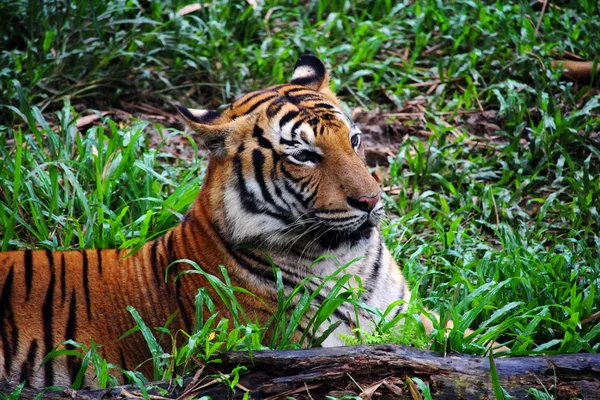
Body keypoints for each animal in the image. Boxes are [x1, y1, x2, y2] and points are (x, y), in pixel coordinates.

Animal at [0, 54, 496, 390]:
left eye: (354, 140)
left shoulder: (412, 313)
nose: (371, 200)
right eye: (304, 156)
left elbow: (478, 340)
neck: (350, 260)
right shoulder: (315, 345)